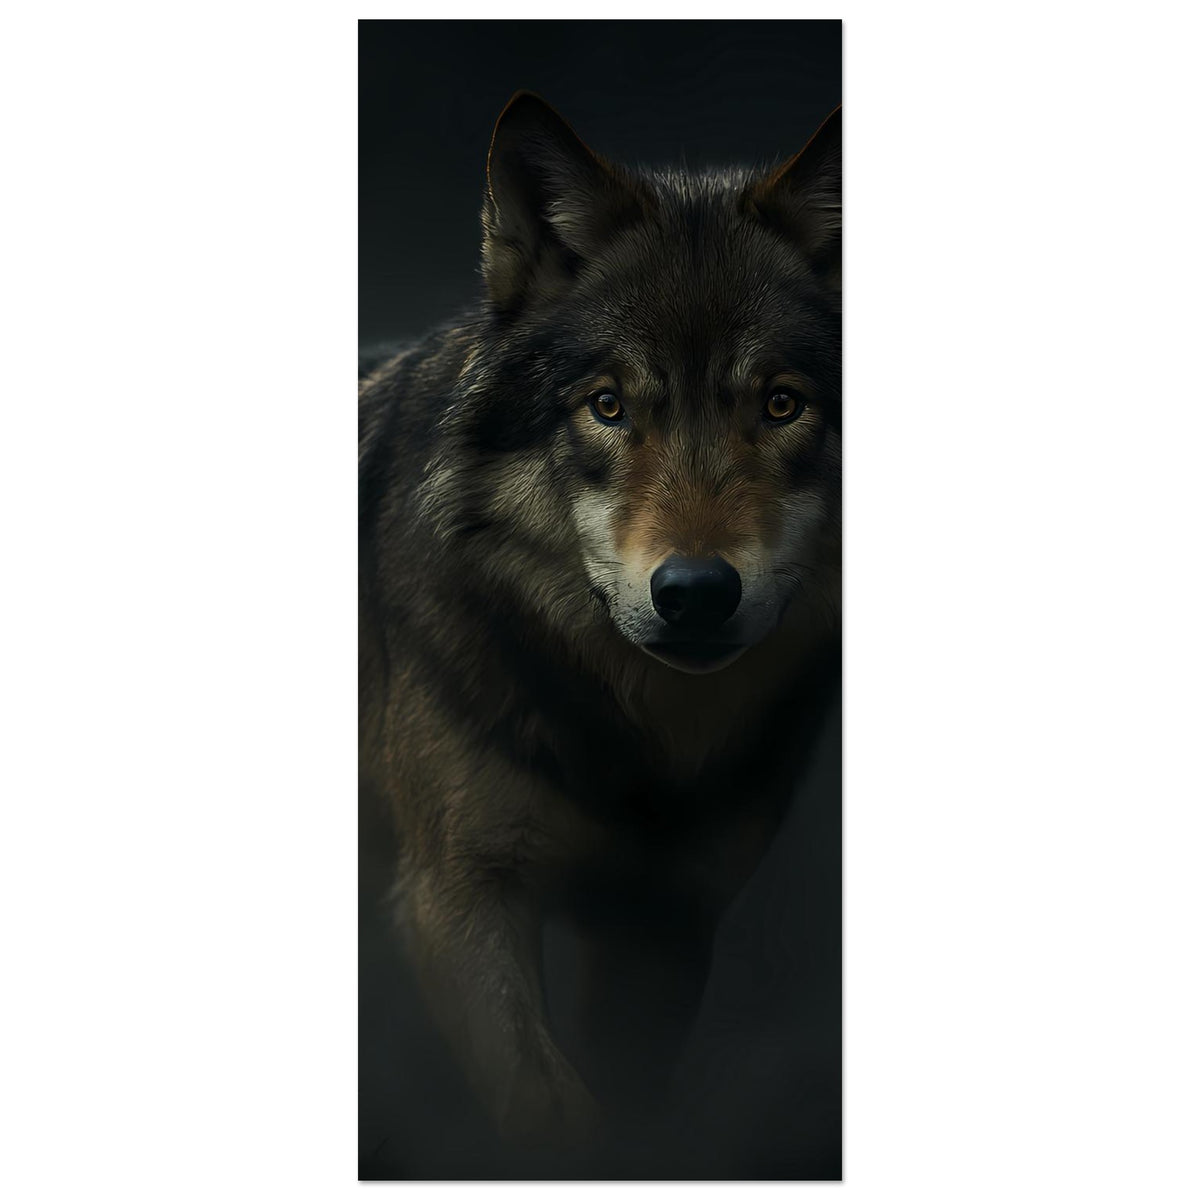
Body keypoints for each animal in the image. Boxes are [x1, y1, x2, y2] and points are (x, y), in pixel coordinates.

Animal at [359, 92, 841, 1154]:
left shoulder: (665, 924)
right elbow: (549, 1112)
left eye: (782, 405)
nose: (696, 590)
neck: (636, 741)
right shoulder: (456, 896)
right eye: (609, 406)